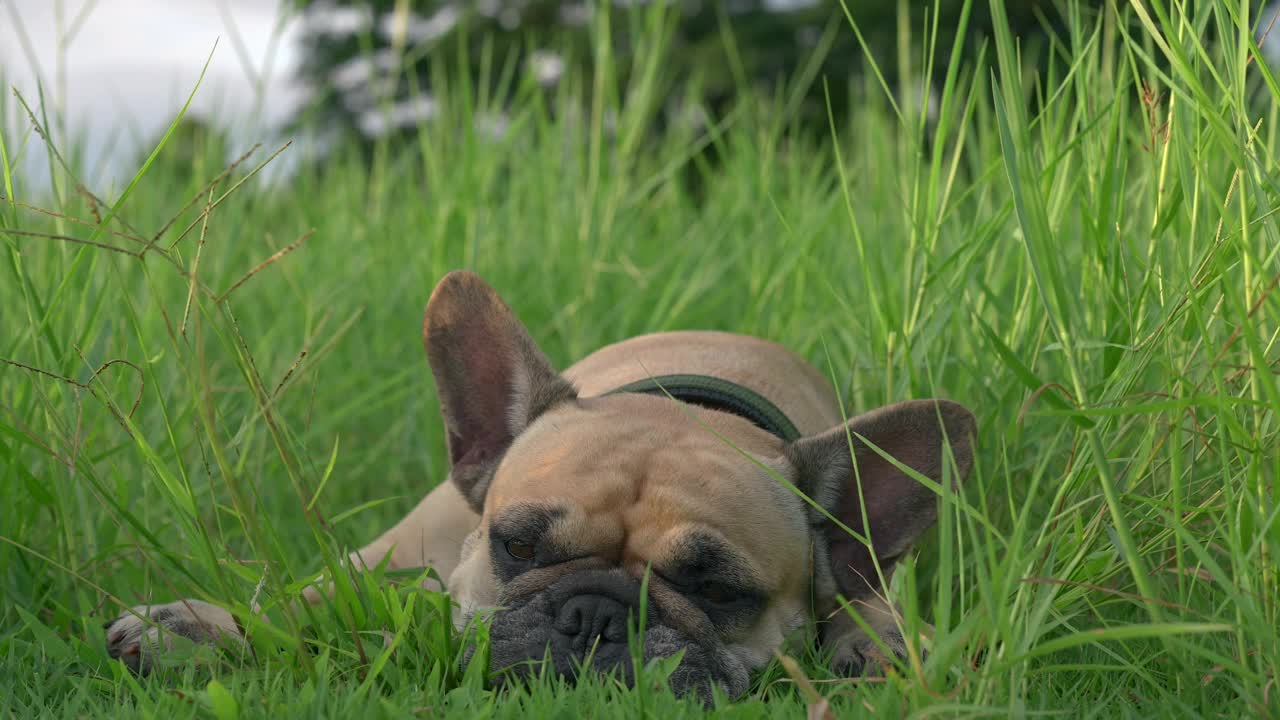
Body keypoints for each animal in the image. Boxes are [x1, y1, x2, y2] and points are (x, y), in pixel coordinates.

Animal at [104, 267, 972, 696]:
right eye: (516, 546)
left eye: (719, 592)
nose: (595, 615)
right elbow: (305, 602)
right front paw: (197, 630)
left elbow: (870, 604)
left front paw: (883, 646)